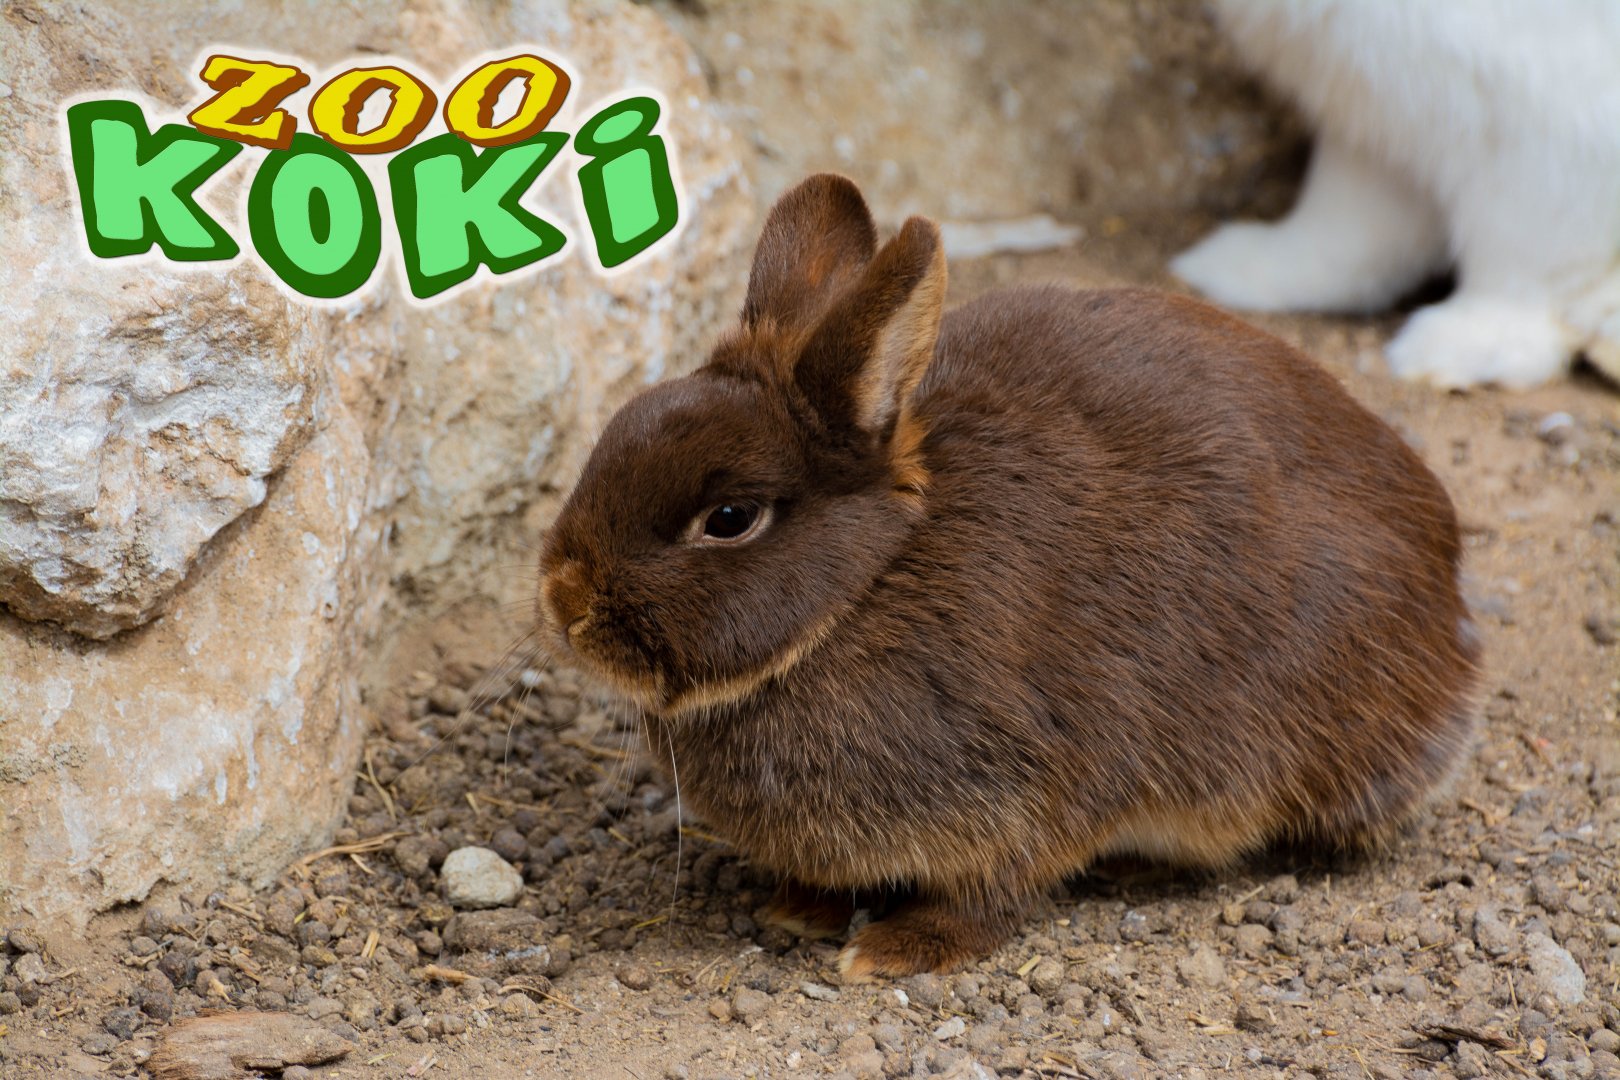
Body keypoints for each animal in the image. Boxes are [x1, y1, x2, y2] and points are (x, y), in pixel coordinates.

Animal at [538, 173, 1481, 978]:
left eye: (730, 518)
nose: (563, 602)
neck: (862, 591)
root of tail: (1450, 587)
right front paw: (799, 909)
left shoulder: (1029, 787)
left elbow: (993, 892)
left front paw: (893, 950)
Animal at [1171, 0, 1620, 390]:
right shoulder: (1373, 106)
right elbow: (1347, 222)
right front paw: (1239, 268)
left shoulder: (1545, 109)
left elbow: (1530, 247)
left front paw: (1462, 346)